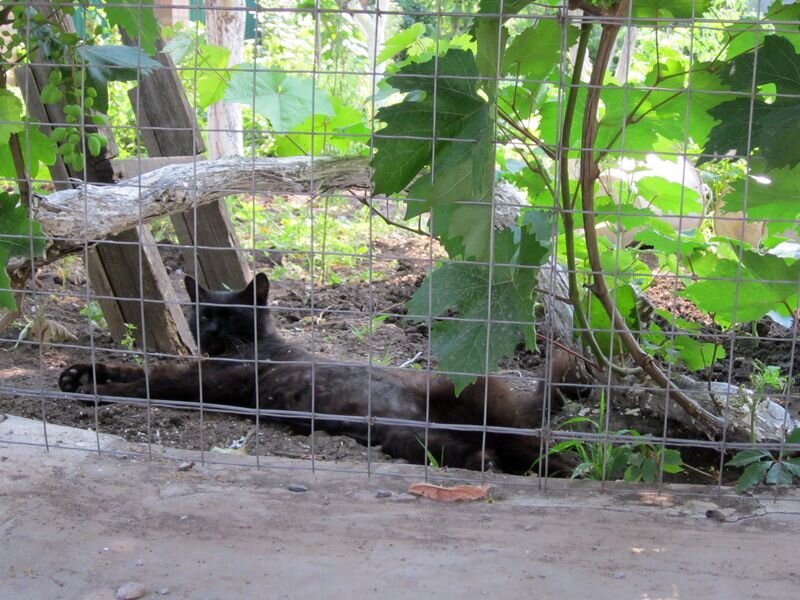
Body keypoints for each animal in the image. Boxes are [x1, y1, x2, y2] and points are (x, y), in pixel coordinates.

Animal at [59, 272, 580, 474]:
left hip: (485, 417)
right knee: (475, 454)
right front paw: (79, 374)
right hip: (408, 439)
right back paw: (484, 463)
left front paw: (94, 387)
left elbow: (150, 381)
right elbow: (139, 368)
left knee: (543, 450)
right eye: (203, 314)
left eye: (231, 315)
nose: (211, 331)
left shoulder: (205, 382)